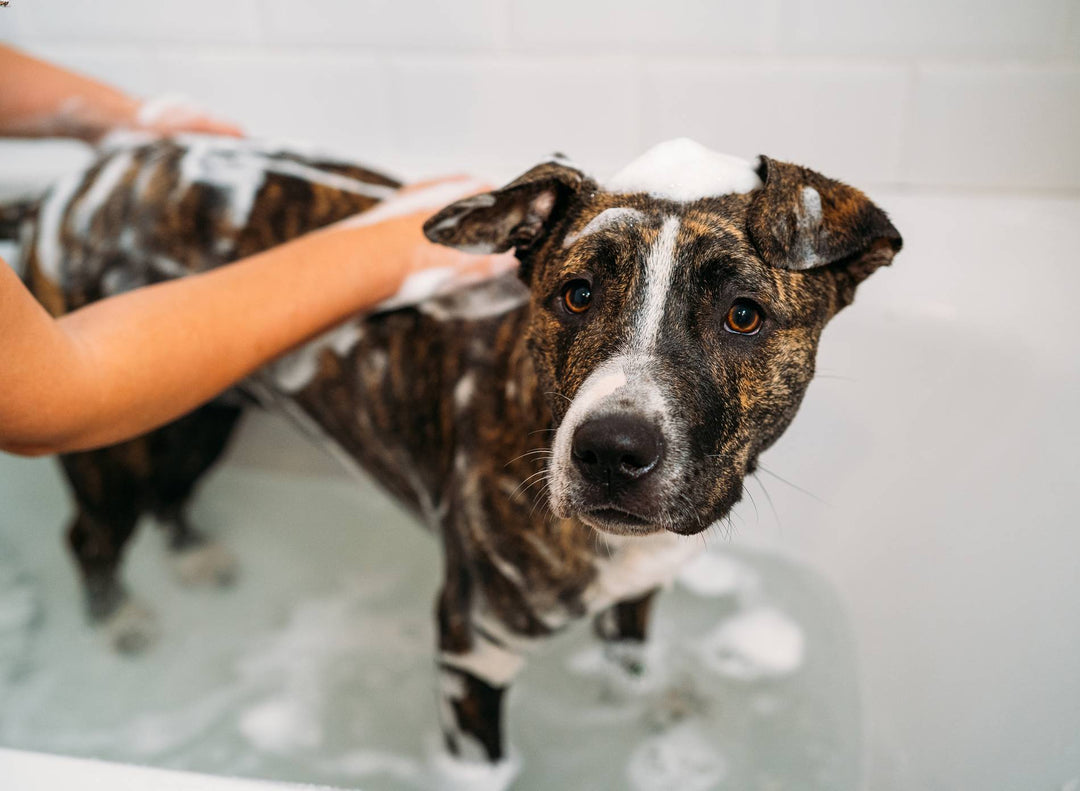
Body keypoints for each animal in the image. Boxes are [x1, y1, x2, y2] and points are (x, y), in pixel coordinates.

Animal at [10, 136, 902, 773]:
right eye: (575, 294)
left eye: (744, 313)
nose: (611, 450)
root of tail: (77, 183)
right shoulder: (471, 653)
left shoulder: (635, 595)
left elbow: (632, 666)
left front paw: (652, 712)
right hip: (113, 434)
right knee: (90, 534)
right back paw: (121, 616)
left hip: (203, 408)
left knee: (174, 489)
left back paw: (192, 555)